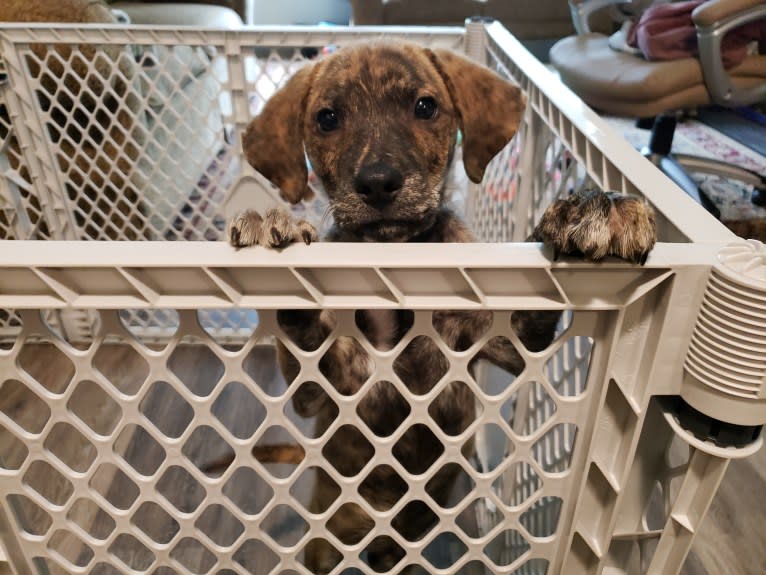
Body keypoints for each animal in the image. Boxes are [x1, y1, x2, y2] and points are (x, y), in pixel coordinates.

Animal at [231, 42, 656, 572]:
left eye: (425, 106)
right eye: (327, 118)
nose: (378, 183)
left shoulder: (512, 340)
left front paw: (593, 207)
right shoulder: (320, 395)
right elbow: (304, 339)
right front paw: (276, 226)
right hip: (329, 534)